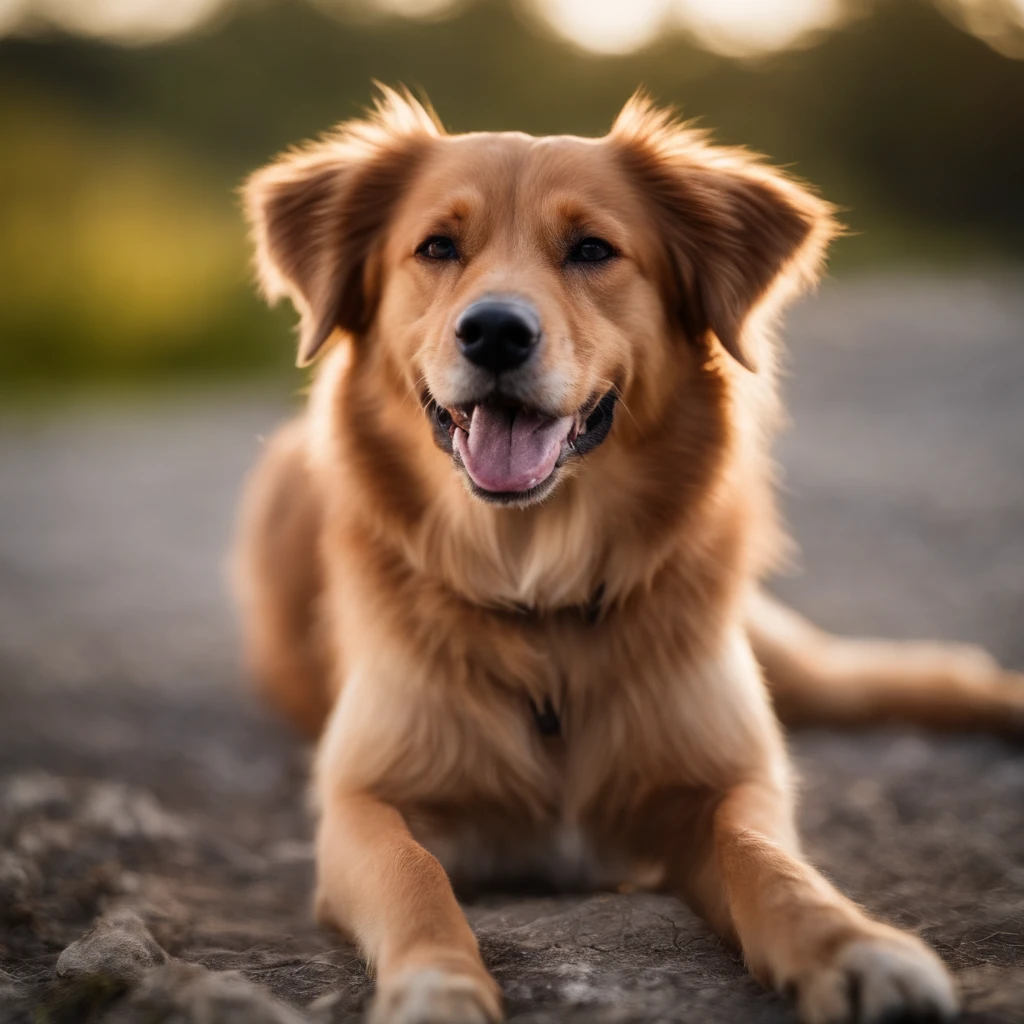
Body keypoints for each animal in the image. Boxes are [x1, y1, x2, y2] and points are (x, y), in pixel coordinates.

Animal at [234, 90, 1024, 1024]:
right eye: (437, 247)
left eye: (591, 250)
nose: (494, 332)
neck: (539, 596)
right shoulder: (362, 800)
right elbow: (412, 874)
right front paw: (437, 983)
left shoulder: (730, 777)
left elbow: (769, 861)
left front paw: (855, 947)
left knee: (908, 675)